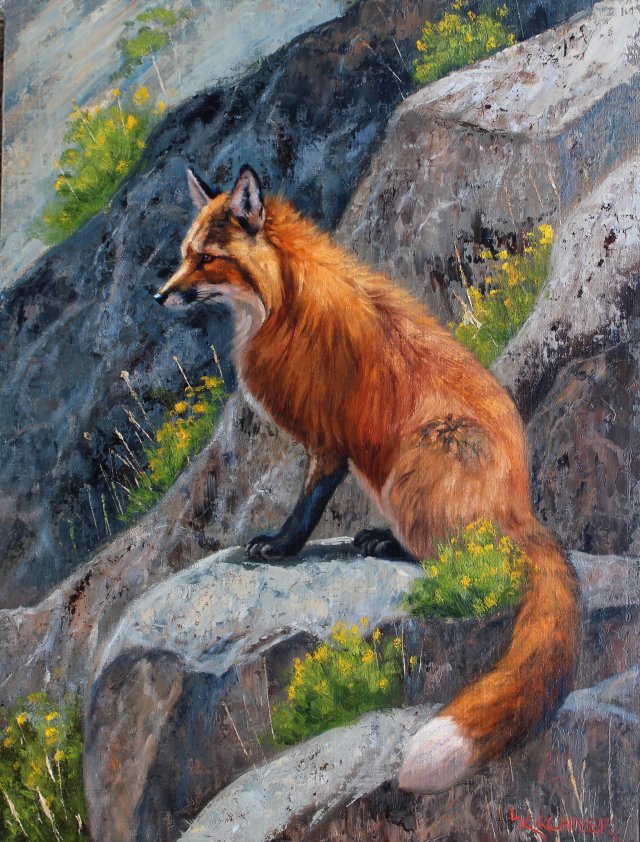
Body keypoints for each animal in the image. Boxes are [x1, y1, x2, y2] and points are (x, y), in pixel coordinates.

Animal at [154, 163, 580, 793]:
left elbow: (306, 506)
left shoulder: (328, 441)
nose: (159, 295)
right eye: (186, 254)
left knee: (457, 557)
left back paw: (389, 543)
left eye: (207, 258)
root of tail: (522, 504)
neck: (281, 305)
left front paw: (278, 547)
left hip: (416, 464)